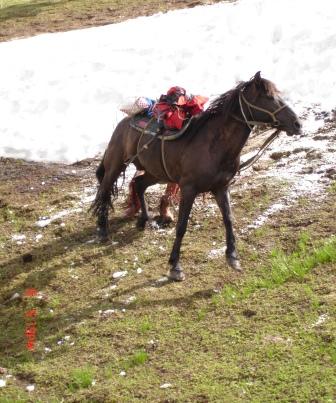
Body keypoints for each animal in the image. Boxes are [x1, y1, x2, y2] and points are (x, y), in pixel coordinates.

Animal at [91, 72, 302, 280]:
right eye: (268, 97)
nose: (297, 124)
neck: (215, 145)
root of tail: (124, 123)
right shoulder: (189, 189)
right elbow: (182, 226)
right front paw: (175, 266)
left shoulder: (221, 187)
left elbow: (228, 219)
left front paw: (232, 257)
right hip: (116, 165)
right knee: (104, 190)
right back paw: (102, 229)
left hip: (155, 172)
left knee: (139, 184)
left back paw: (145, 220)